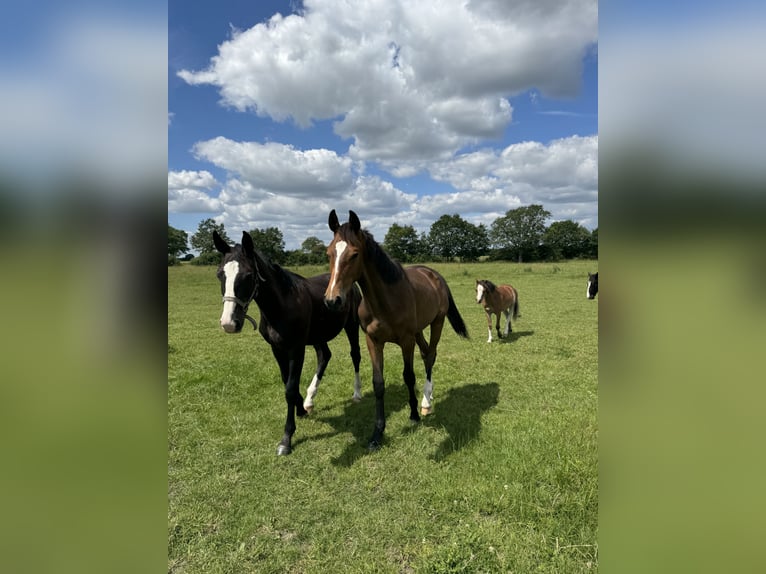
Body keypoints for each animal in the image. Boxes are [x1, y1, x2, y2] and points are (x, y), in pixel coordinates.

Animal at [213, 232, 364, 456]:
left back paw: (357, 393)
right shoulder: (277, 349)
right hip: (318, 336)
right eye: (219, 274)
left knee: (355, 355)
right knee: (324, 356)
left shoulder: (296, 349)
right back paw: (310, 400)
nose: (229, 323)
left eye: (248, 275)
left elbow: (290, 389)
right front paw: (301, 408)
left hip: (351, 326)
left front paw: (286, 438)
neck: (282, 305)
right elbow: (287, 382)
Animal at [322, 209, 472, 452]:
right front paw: (377, 434)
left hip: (437, 323)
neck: (385, 302)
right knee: (426, 353)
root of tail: (434, 274)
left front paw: (413, 415)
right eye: (328, 253)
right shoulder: (373, 341)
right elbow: (378, 384)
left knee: (431, 355)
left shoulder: (405, 341)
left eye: (354, 254)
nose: (332, 300)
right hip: (419, 330)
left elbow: (408, 376)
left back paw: (425, 402)